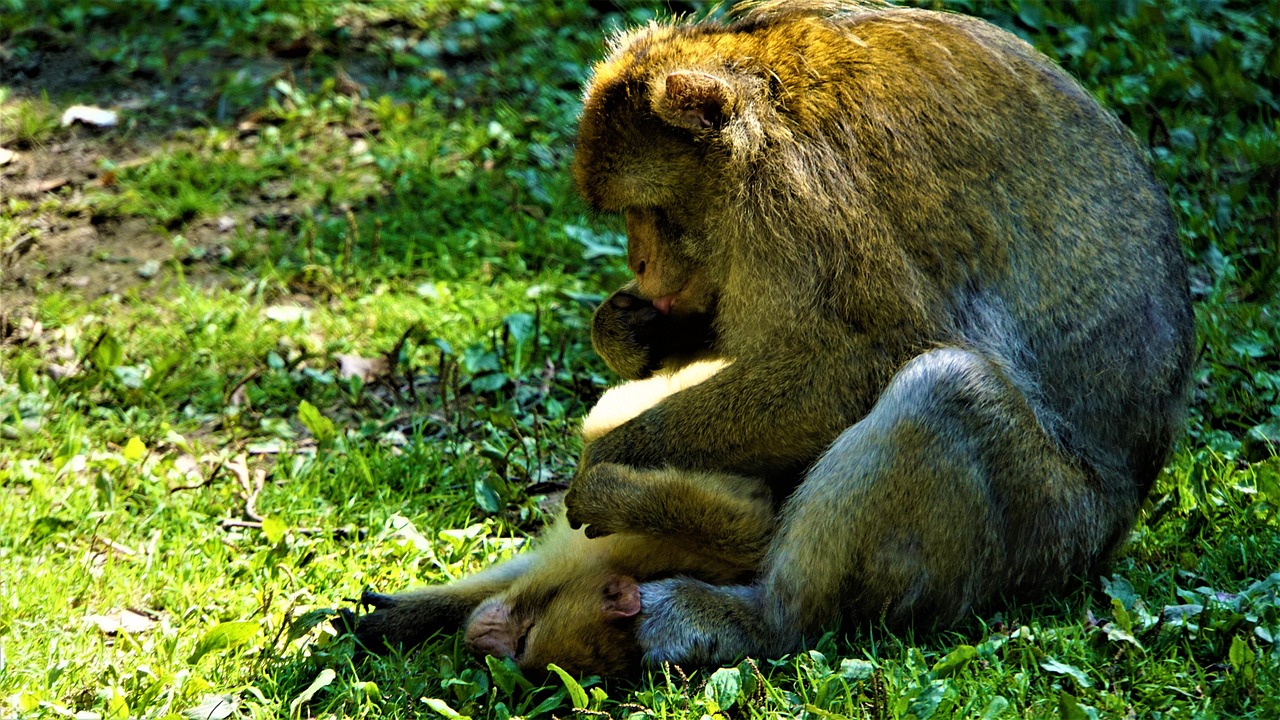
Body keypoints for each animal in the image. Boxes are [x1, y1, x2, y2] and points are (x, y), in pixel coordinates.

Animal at [565, 0, 1195, 668]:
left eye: (653, 212)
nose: (638, 264)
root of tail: (1122, 514)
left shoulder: (799, 202)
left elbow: (861, 362)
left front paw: (611, 456)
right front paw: (629, 333)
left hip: (1053, 530)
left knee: (948, 390)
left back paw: (760, 613)